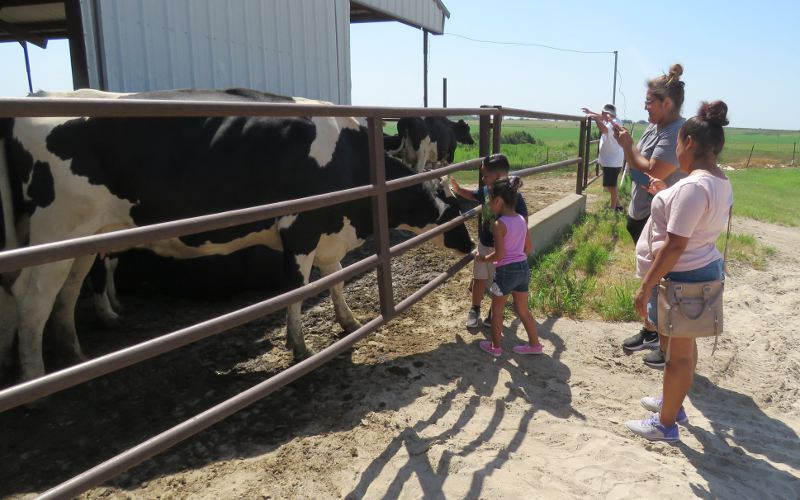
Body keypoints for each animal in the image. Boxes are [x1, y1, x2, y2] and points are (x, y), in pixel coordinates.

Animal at [0, 88, 472, 380]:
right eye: (459, 217)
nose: (470, 246)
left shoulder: (329, 231)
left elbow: (336, 276)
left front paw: (348, 320)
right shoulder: (300, 231)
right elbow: (299, 290)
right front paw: (299, 347)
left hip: (86, 236)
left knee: (67, 289)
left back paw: (73, 354)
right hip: (57, 230)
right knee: (32, 299)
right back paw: (35, 378)